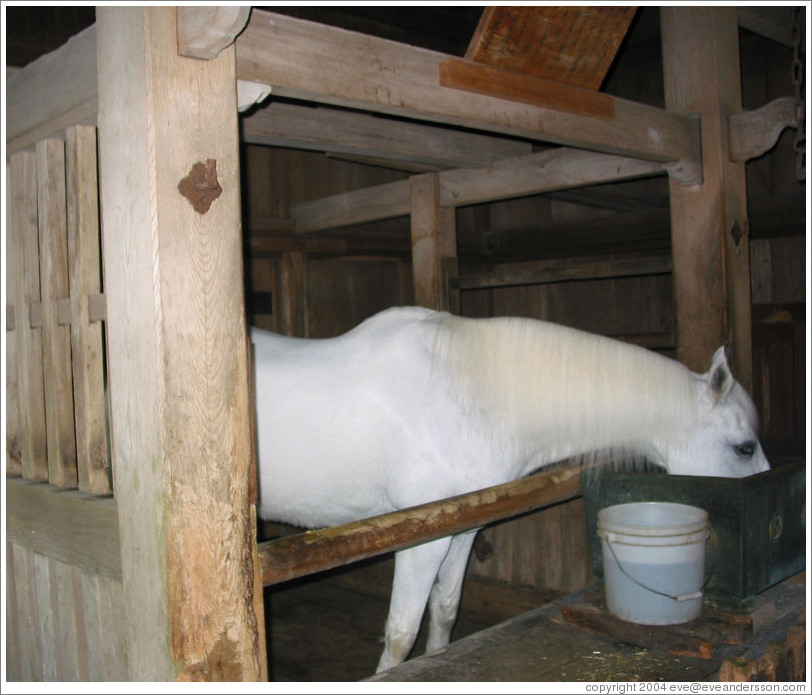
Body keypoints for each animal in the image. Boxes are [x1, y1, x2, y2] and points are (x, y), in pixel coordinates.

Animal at [251, 306, 770, 673]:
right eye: (744, 448)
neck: (469, 394)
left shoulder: (461, 528)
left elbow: (445, 610)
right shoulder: (421, 540)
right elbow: (401, 633)